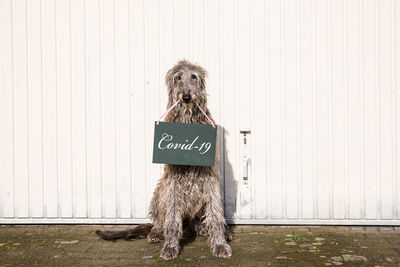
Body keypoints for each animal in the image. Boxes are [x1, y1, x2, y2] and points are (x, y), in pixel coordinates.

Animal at [96, 60, 231, 262]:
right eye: (177, 78)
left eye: (193, 76)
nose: (186, 97)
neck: (187, 121)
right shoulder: (172, 180)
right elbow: (172, 218)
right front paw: (170, 246)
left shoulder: (210, 178)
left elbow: (215, 214)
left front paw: (220, 244)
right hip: (161, 188)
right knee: (160, 221)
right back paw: (156, 232)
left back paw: (210, 229)